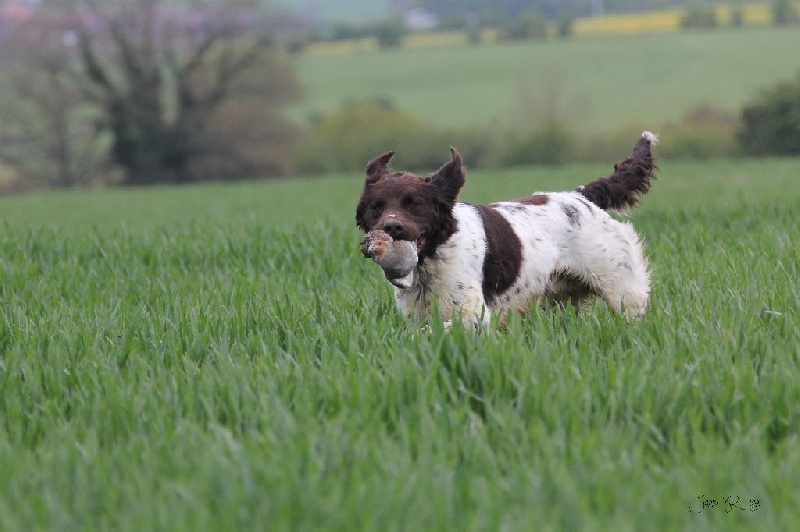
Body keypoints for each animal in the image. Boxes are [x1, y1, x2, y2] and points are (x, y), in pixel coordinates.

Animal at [356, 131, 656, 326]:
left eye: (413, 203)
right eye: (377, 207)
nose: (391, 227)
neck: (431, 259)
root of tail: (581, 195)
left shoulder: (473, 313)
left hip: (622, 289)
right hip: (560, 298)